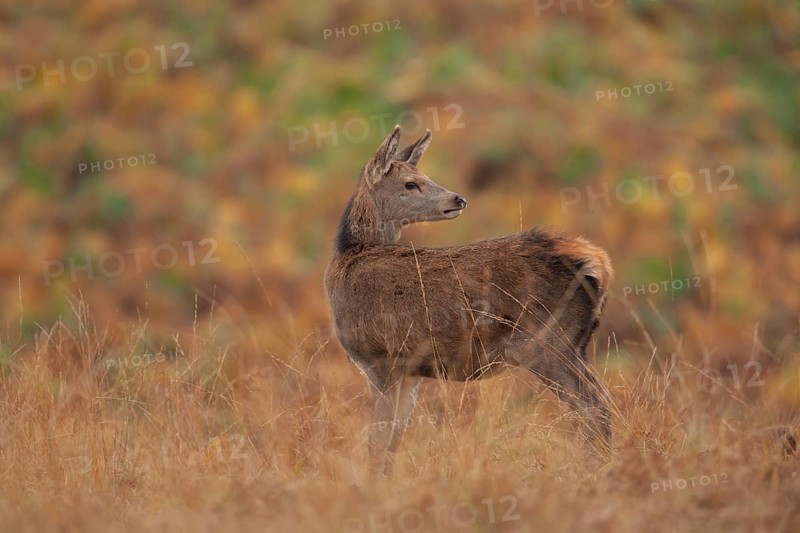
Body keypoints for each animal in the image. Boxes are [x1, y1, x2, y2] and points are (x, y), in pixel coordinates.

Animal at [324, 125, 614, 475]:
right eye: (411, 183)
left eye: (421, 176)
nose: (457, 198)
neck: (347, 261)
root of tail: (599, 263)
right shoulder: (408, 370)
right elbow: (394, 439)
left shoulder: (380, 357)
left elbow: (377, 441)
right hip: (571, 345)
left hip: (548, 341)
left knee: (595, 408)